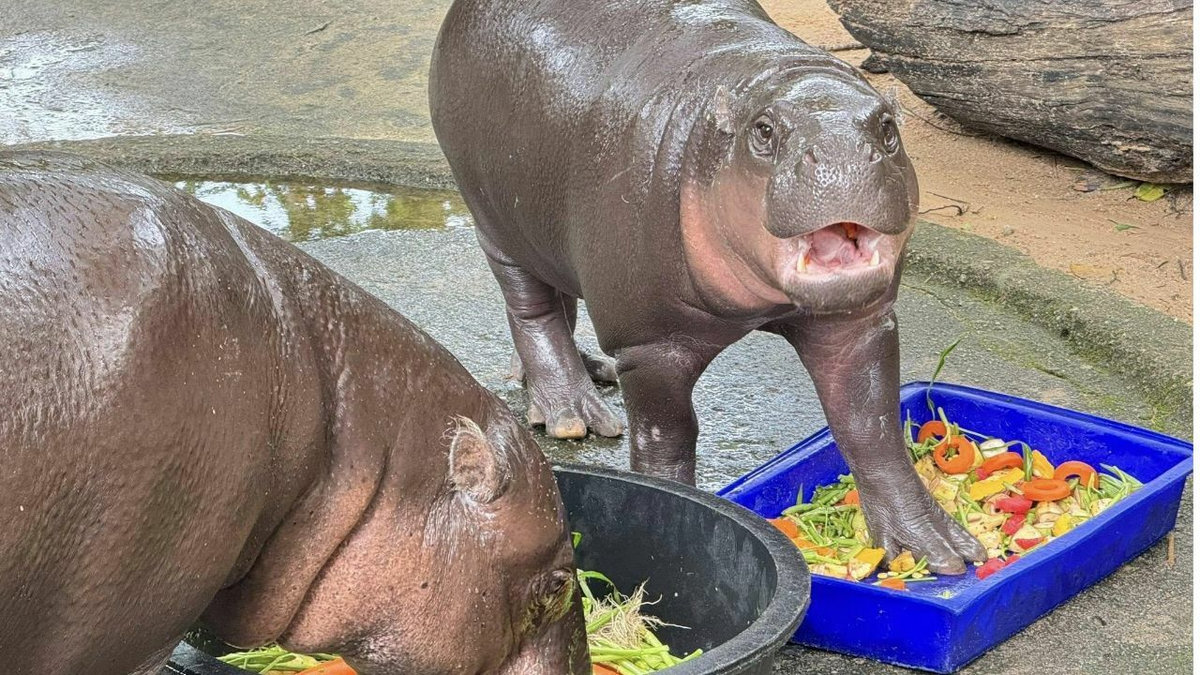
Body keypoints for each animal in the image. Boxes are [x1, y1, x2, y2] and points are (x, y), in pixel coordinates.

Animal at [429, 0, 985, 573]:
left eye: (888, 127)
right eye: (764, 131)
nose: (841, 157)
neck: (776, 78)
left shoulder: (857, 321)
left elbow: (870, 426)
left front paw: (940, 552)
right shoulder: (650, 346)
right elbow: (668, 440)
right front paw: (679, 514)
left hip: (544, 228)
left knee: (559, 295)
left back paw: (583, 376)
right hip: (492, 218)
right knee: (530, 307)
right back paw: (572, 416)